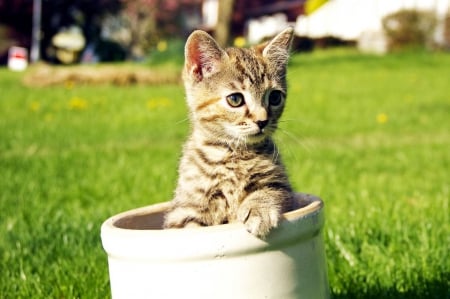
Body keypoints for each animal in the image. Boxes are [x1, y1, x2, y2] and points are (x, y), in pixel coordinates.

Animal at [163, 28, 296, 239]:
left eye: (275, 97)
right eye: (235, 99)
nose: (262, 121)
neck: (234, 153)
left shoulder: (282, 186)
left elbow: (269, 190)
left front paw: (259, 210)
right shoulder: (186, 210)